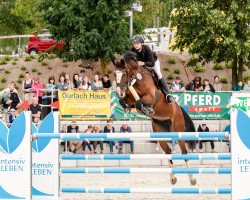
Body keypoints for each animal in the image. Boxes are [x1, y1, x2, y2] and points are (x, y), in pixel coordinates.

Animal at [114, 50, 197, 185]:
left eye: (124, 74)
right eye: (114, 74)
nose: (118, 91)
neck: (137, 79)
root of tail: (179, 109)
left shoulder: (150, 97)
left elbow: (140, 102)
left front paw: (146, 109)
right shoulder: (129, 99)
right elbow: (125, 101)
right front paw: (126, 107)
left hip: (177, 129)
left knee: (184, 152)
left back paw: (192, 179)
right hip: (160, 131)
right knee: (168, 151)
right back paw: (173, 178)